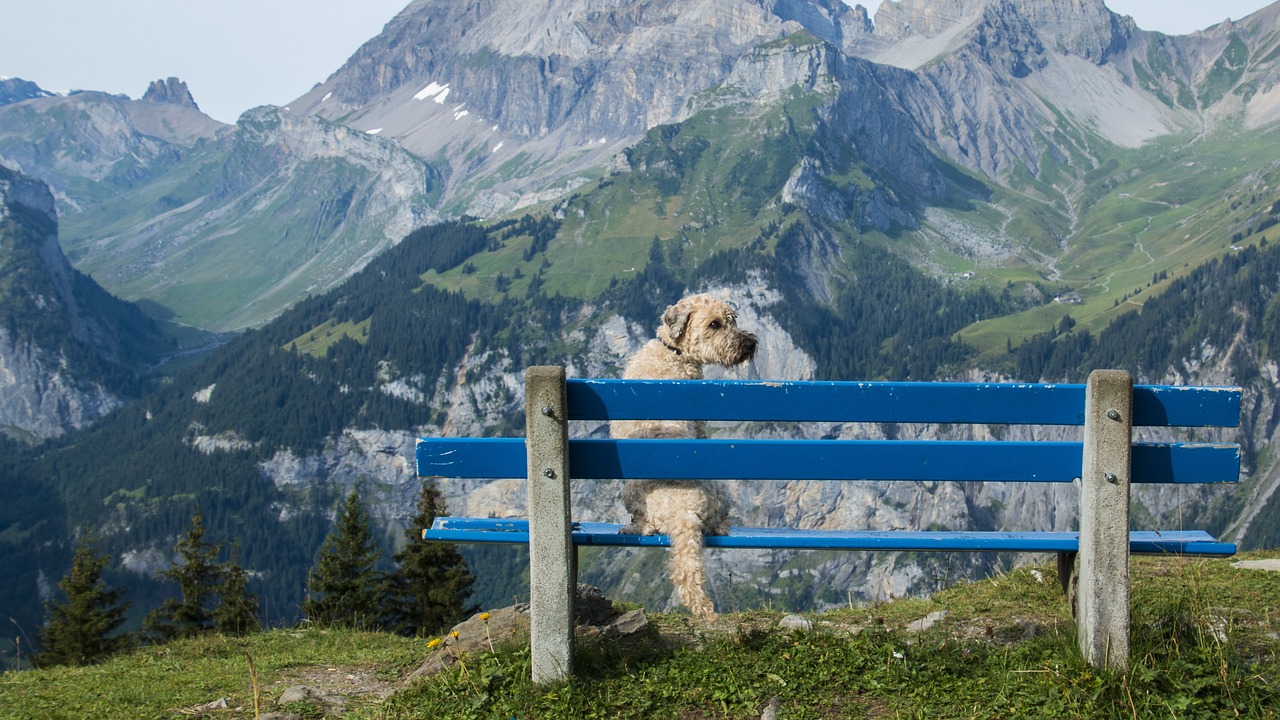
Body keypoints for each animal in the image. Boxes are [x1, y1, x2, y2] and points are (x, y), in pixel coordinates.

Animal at [606, 292, 752, 617]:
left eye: (733, 319)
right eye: (714, 324)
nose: (749, 344)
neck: (672, 351)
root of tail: (682, 509)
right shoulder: (699, 424)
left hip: (630, 491)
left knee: (645, 524)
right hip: (720, 490)